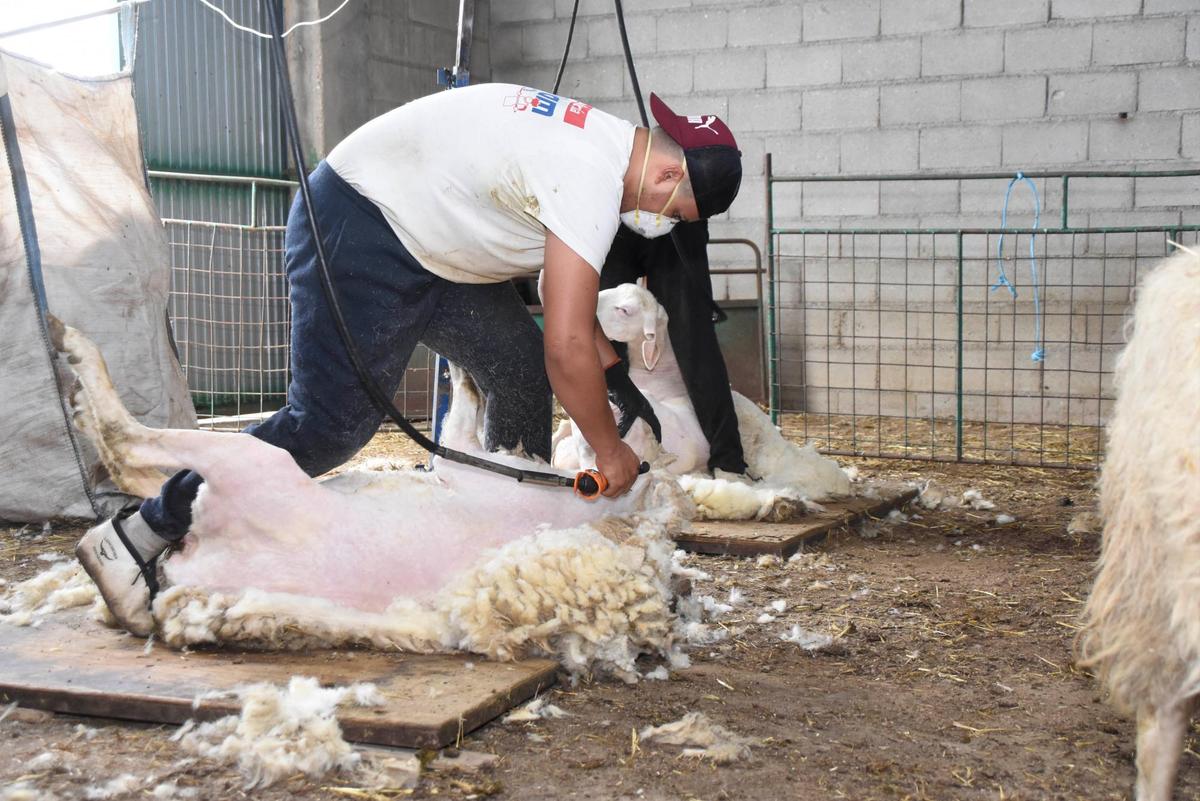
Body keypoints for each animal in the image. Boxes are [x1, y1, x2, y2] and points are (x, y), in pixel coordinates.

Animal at [49, 316, 700, 681]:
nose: (618, 388)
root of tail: (194, 584)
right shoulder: (468, 463)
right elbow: (465, 412)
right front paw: (460, 373)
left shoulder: (471, 468)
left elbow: (458, 428)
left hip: (253, 466)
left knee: (127, 446)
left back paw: (75, 357)